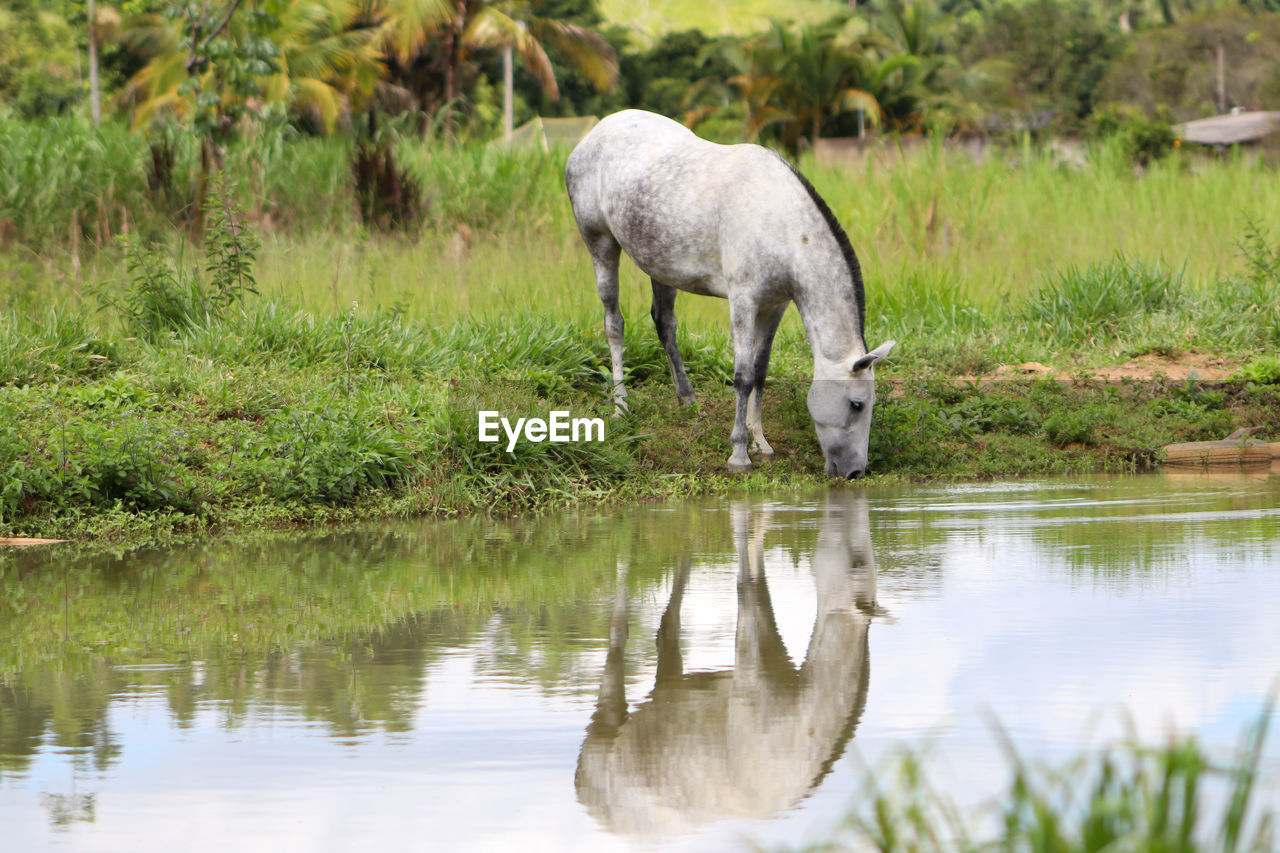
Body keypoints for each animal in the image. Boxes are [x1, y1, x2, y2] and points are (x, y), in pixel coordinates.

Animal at [565, 109, 896, 479]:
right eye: (857, 404)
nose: (855, 472)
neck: (780, 224)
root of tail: (594, 134)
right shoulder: (743, 302)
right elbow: (743, 376)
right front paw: (739, 453)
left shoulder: (775, 305)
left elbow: (761, 371)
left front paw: (761, 442)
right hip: (600, 244)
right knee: (614, 324)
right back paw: (621, 406)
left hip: (660, 263)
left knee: (664, 323)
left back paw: (687, 400)